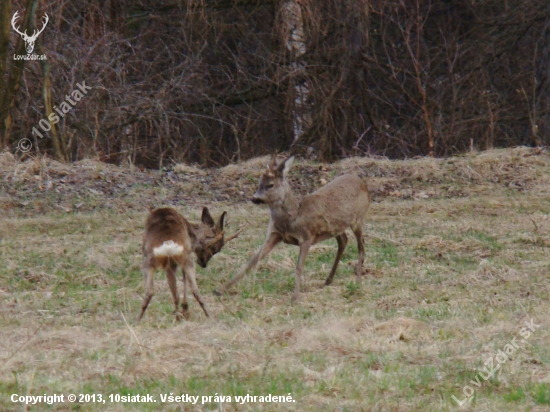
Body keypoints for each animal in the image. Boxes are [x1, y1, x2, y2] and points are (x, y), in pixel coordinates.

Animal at [215, 154, 370, 302]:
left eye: (270, 185)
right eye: (259, 183)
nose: (255, 199)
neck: (293, 216)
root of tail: (362, 182)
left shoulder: (307, 236)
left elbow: (299, 267)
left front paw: (295, 298)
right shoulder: (274, 234)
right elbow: (252, 260)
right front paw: (220, 290)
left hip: (359, 218)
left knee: (361, 245)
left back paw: (358, 281)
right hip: (337, 227)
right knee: (343, 240)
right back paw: (328, 280)